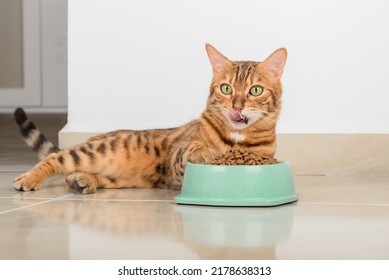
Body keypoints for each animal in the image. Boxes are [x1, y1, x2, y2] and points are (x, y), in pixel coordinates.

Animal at [12, 43, 284, 194]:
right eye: (226, 89)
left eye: (255, 90)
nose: (237, 107)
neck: (237, 136)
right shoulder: (177, 162)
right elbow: (189, 150)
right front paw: (203, 151)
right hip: (99, 150)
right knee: (55, 158)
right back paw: (28, 179)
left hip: (124, 178)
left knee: (78, 173)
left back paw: (83, 180)